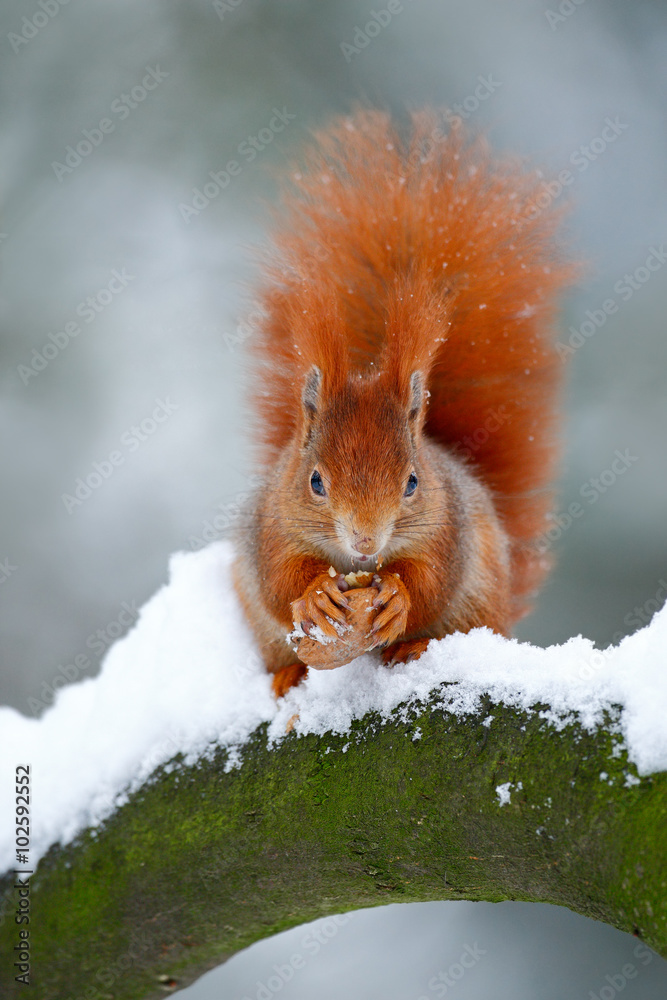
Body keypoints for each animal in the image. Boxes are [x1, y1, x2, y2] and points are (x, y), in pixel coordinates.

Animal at [232, 109, 576, 700]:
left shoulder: (447, 528)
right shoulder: (271, 526)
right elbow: (280, 580)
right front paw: (315, 596)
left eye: (412, 482)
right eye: (315, 481)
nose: (366, 541)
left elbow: (433, 579)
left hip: (482, 601)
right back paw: (289, 673)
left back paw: (414, 646)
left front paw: (397, 598)